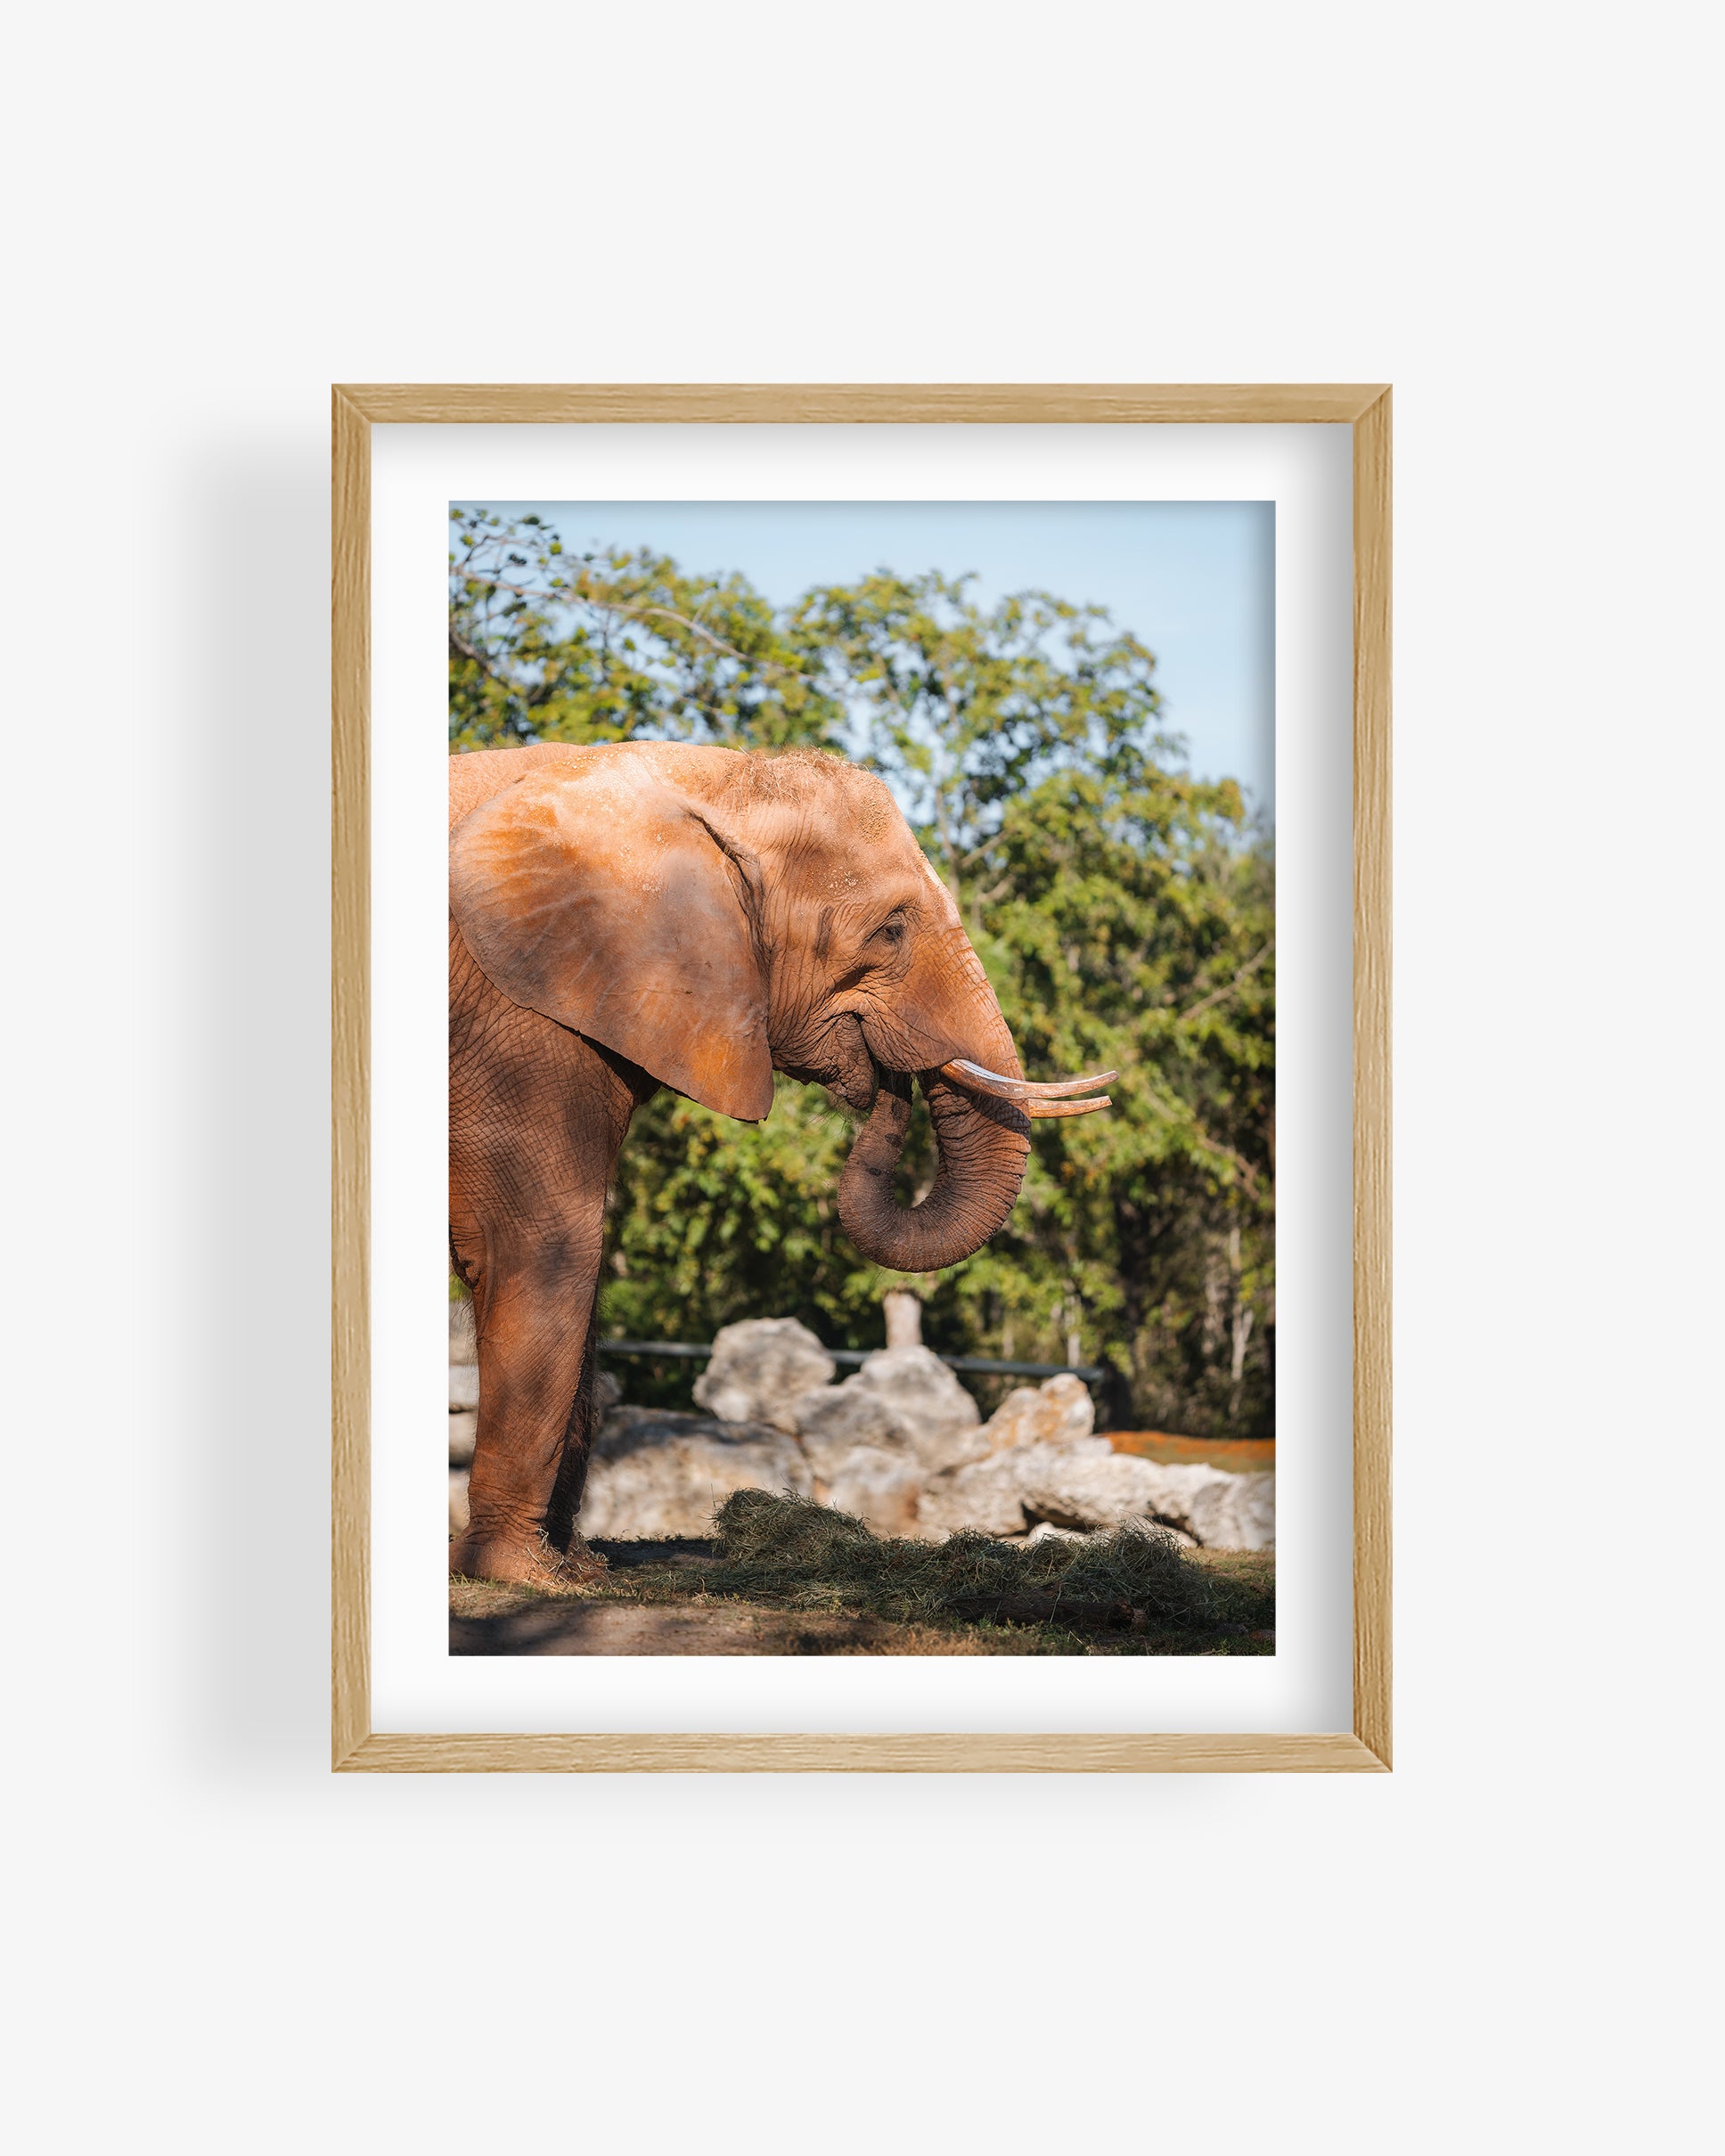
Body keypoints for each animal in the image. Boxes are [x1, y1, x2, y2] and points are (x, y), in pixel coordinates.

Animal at [447, 740, 1112, 1585]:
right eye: (891, 930)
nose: (890, 1081)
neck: (700, 773)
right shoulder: (517, 1014)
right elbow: (542, 1242)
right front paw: (521, 1576)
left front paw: (580, 1570)